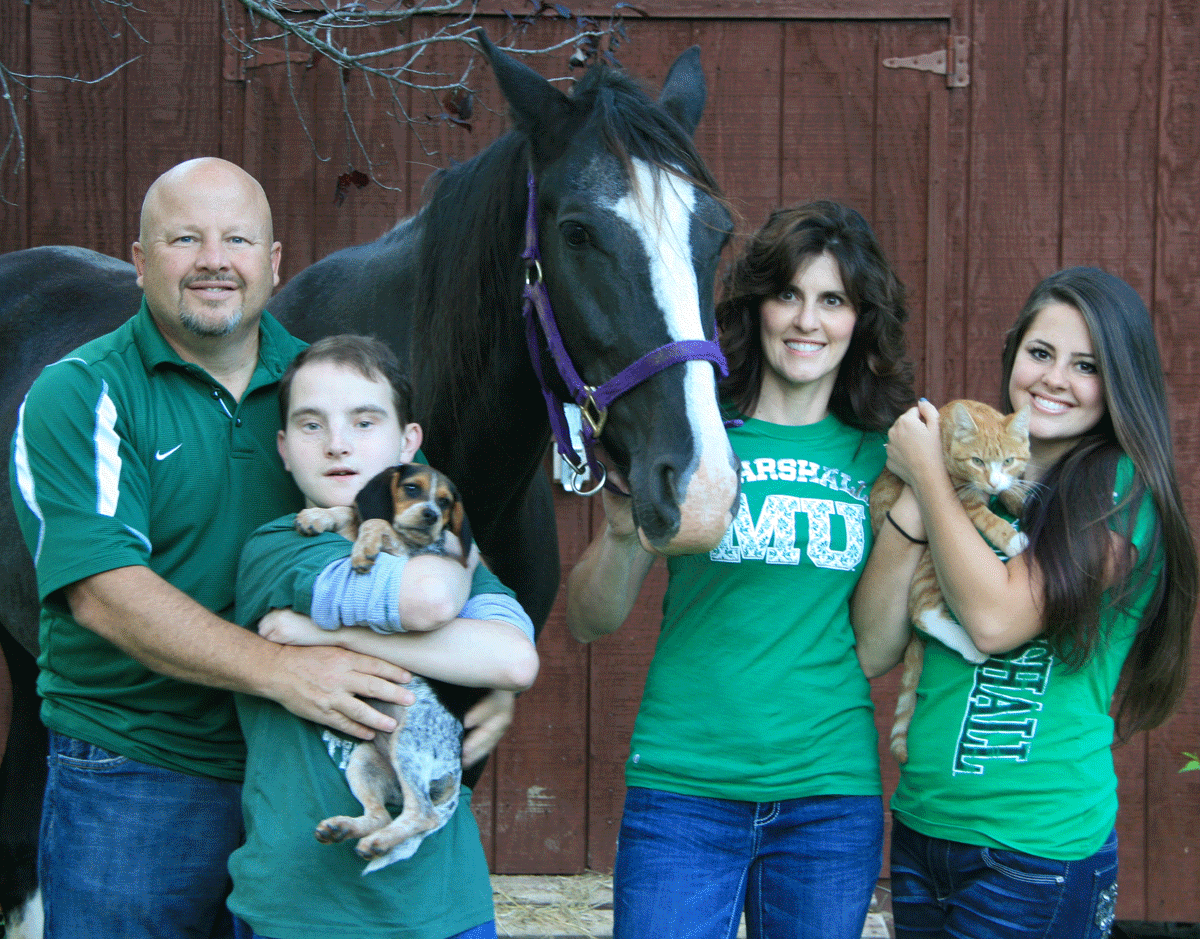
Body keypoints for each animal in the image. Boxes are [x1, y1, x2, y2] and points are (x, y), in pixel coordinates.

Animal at [873, 398, 1032, 763]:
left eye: (1008, 460)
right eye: (977, 461)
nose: (992, 483)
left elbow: (1011, 488)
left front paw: (1020, 497)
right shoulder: (960, 497)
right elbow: (985, 516)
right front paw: (1012, 539)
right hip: (933, 552)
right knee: (921, 611)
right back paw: (970, 647)